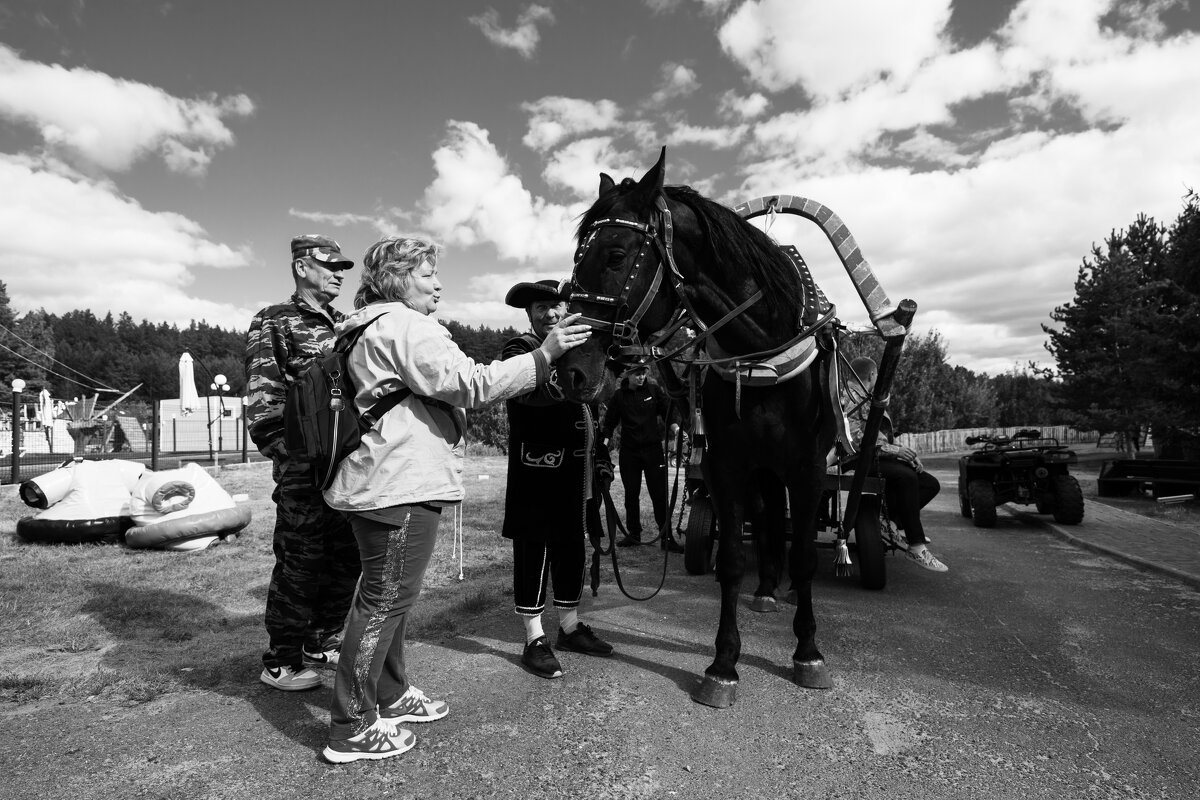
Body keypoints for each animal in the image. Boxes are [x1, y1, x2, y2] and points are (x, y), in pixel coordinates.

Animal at [556, 149, 840, 705]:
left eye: (616, 255)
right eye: (578, 257)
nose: (570, 370)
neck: (763, 353)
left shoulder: (809, 466)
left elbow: (804, 558)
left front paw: (808, 651)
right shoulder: (728, 465)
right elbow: (729, 559)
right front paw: (724, 663)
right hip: (760, 470)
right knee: (767, 520)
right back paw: (765, 589)